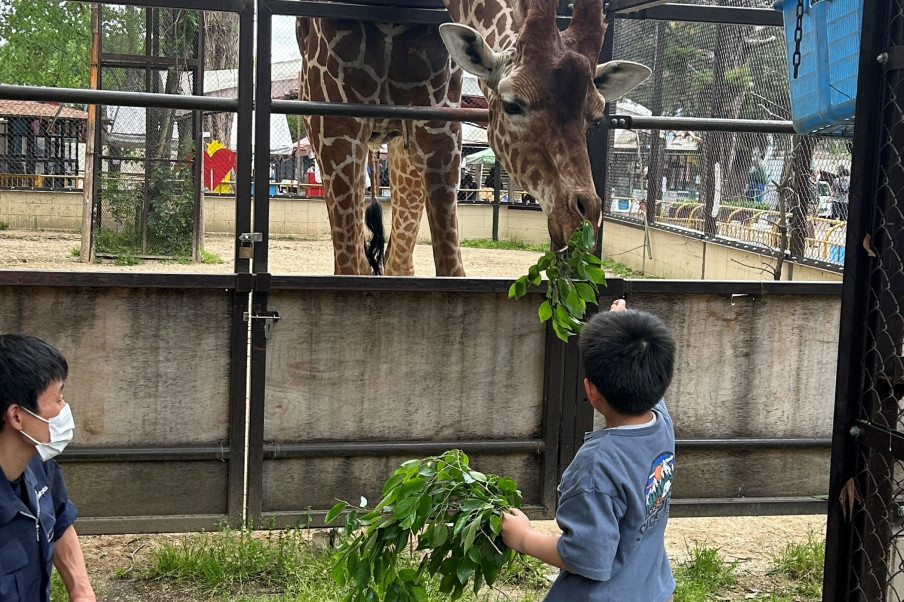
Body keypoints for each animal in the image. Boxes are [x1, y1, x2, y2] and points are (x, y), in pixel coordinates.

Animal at [296, 0, 648, 274]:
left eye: (594, 118)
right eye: (512, 104)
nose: (581, 217)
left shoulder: (438, 124)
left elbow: (452, 270)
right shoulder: (335, 122)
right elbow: (347, 270)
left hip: (400, 146)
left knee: (399, 258)